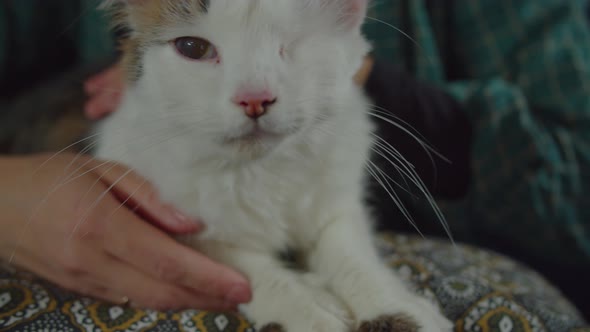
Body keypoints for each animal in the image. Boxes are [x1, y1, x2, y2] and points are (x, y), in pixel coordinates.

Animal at [96, 0, 454, 332]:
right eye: (193, 48)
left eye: (292, 45)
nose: (254, 98)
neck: (263, 172)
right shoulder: (181, 224)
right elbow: (249, 270)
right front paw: (313, 311)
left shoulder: (338, 203)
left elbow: (350, 255)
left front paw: (395, 307)